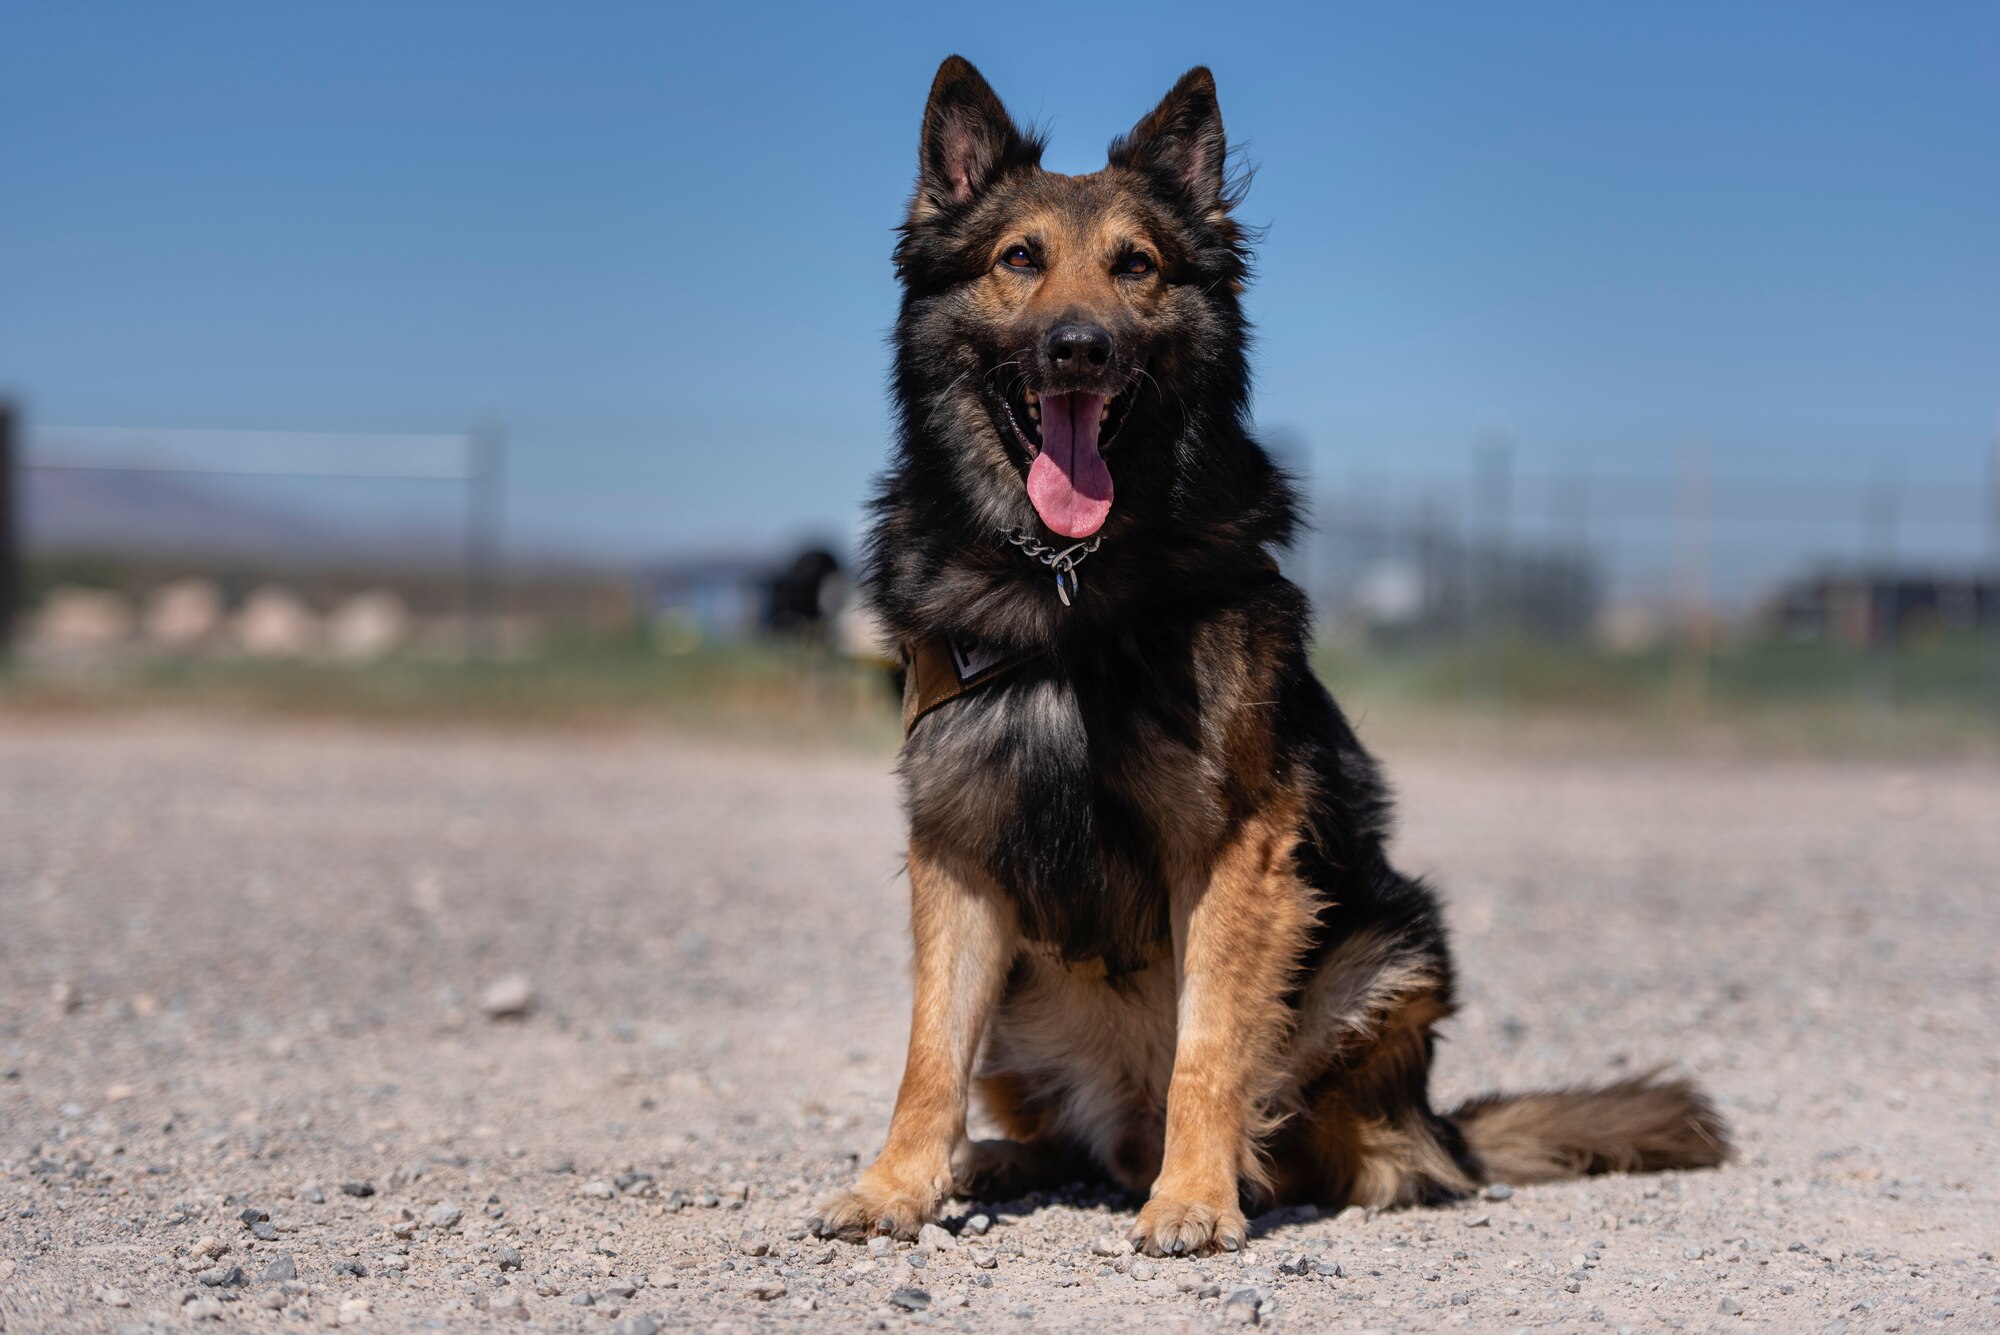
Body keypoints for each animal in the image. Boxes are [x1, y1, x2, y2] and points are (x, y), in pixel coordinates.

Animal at [808, 57, 1720, 1255]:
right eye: (1018, 259)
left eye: (1135, 266)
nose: (1079, 347)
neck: (1066, 582)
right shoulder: (957, 849)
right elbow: (926, 1054)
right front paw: (897, 1184)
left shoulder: (1237, 847)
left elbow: (1209, 1048)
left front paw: (1195, 1198)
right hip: (1027, 998)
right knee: (1063, 1134)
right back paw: (996, 1160)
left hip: (1386, 951)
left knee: (1342, 1149)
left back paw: (1229, 1172)